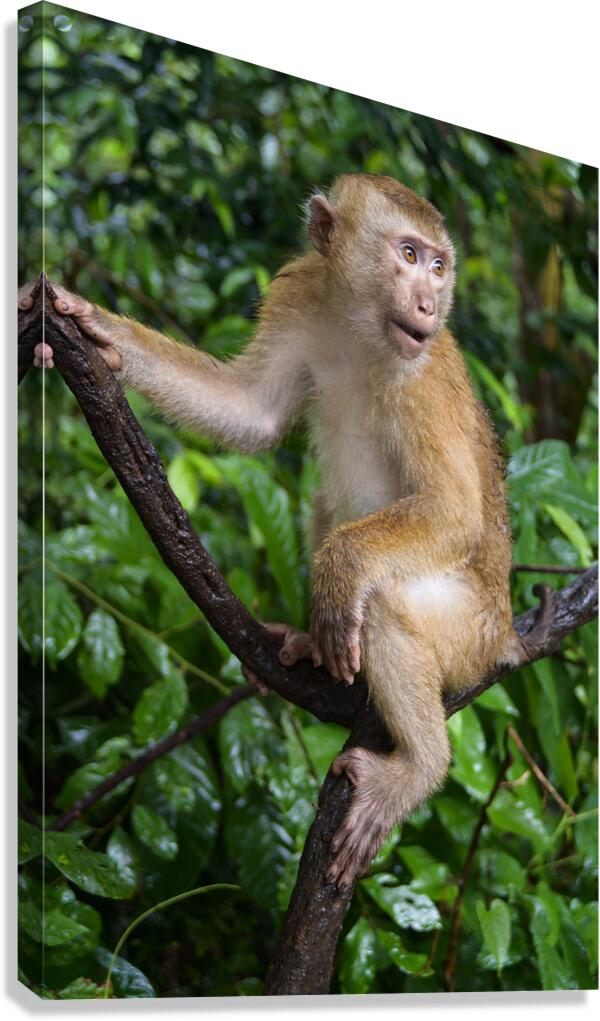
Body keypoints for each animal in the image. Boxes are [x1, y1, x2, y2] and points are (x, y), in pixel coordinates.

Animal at [28, 173, 527, 889]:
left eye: (439, 265)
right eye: (408, 254)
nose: (430, 302)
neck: (361, 330)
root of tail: (507, 631)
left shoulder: (422, 376)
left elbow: (455, 510)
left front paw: (338, 576)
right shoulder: (300, 293)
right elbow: (253, 413)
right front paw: (97, 327)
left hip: (470, 636)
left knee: (385, 601)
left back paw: (417, 767)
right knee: (327, 506)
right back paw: (313, 646)